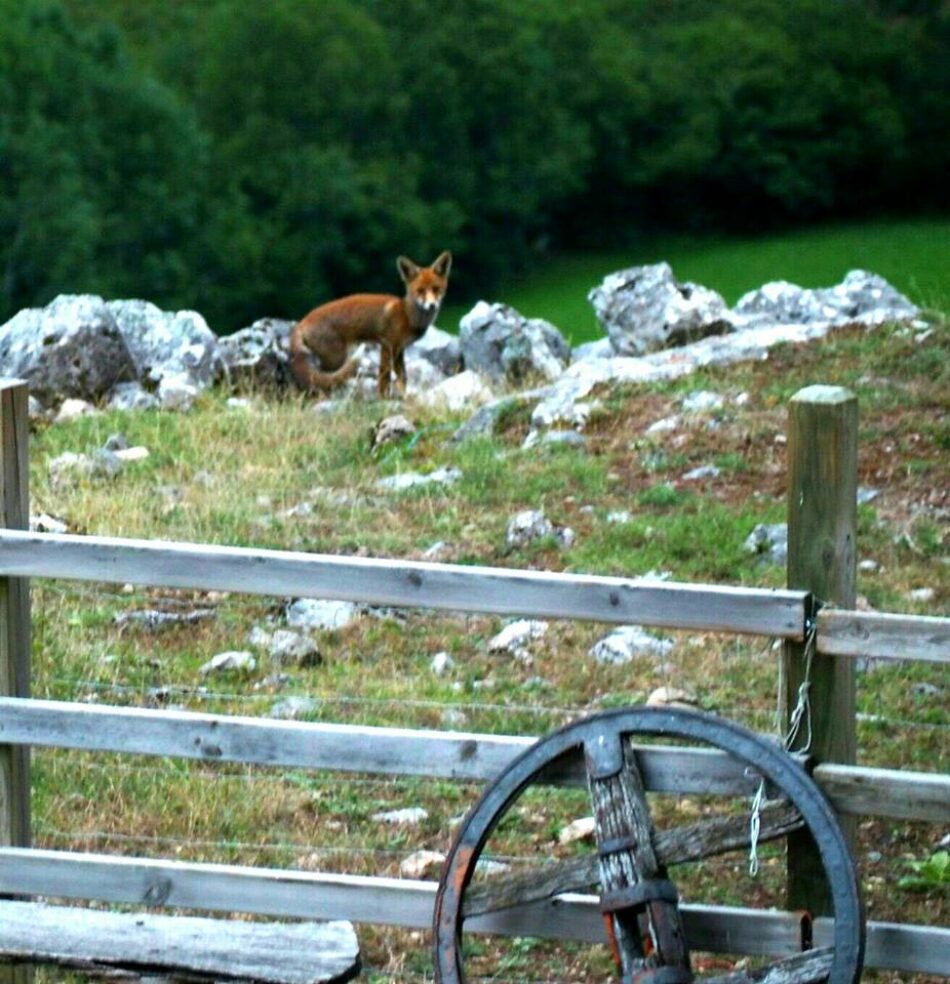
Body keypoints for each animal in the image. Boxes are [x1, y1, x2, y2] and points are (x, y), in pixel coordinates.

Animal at [288, 252, 452, 398]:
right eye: (420, 291)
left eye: (436, 289)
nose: (432, 306)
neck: (407, 315)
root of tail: (302, 321)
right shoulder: (387, 346)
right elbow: (384, 378)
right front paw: (383, 399)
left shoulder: (399, 350)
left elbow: (403, 378)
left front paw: (403, 397)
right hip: (336, 359)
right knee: (320, 380)